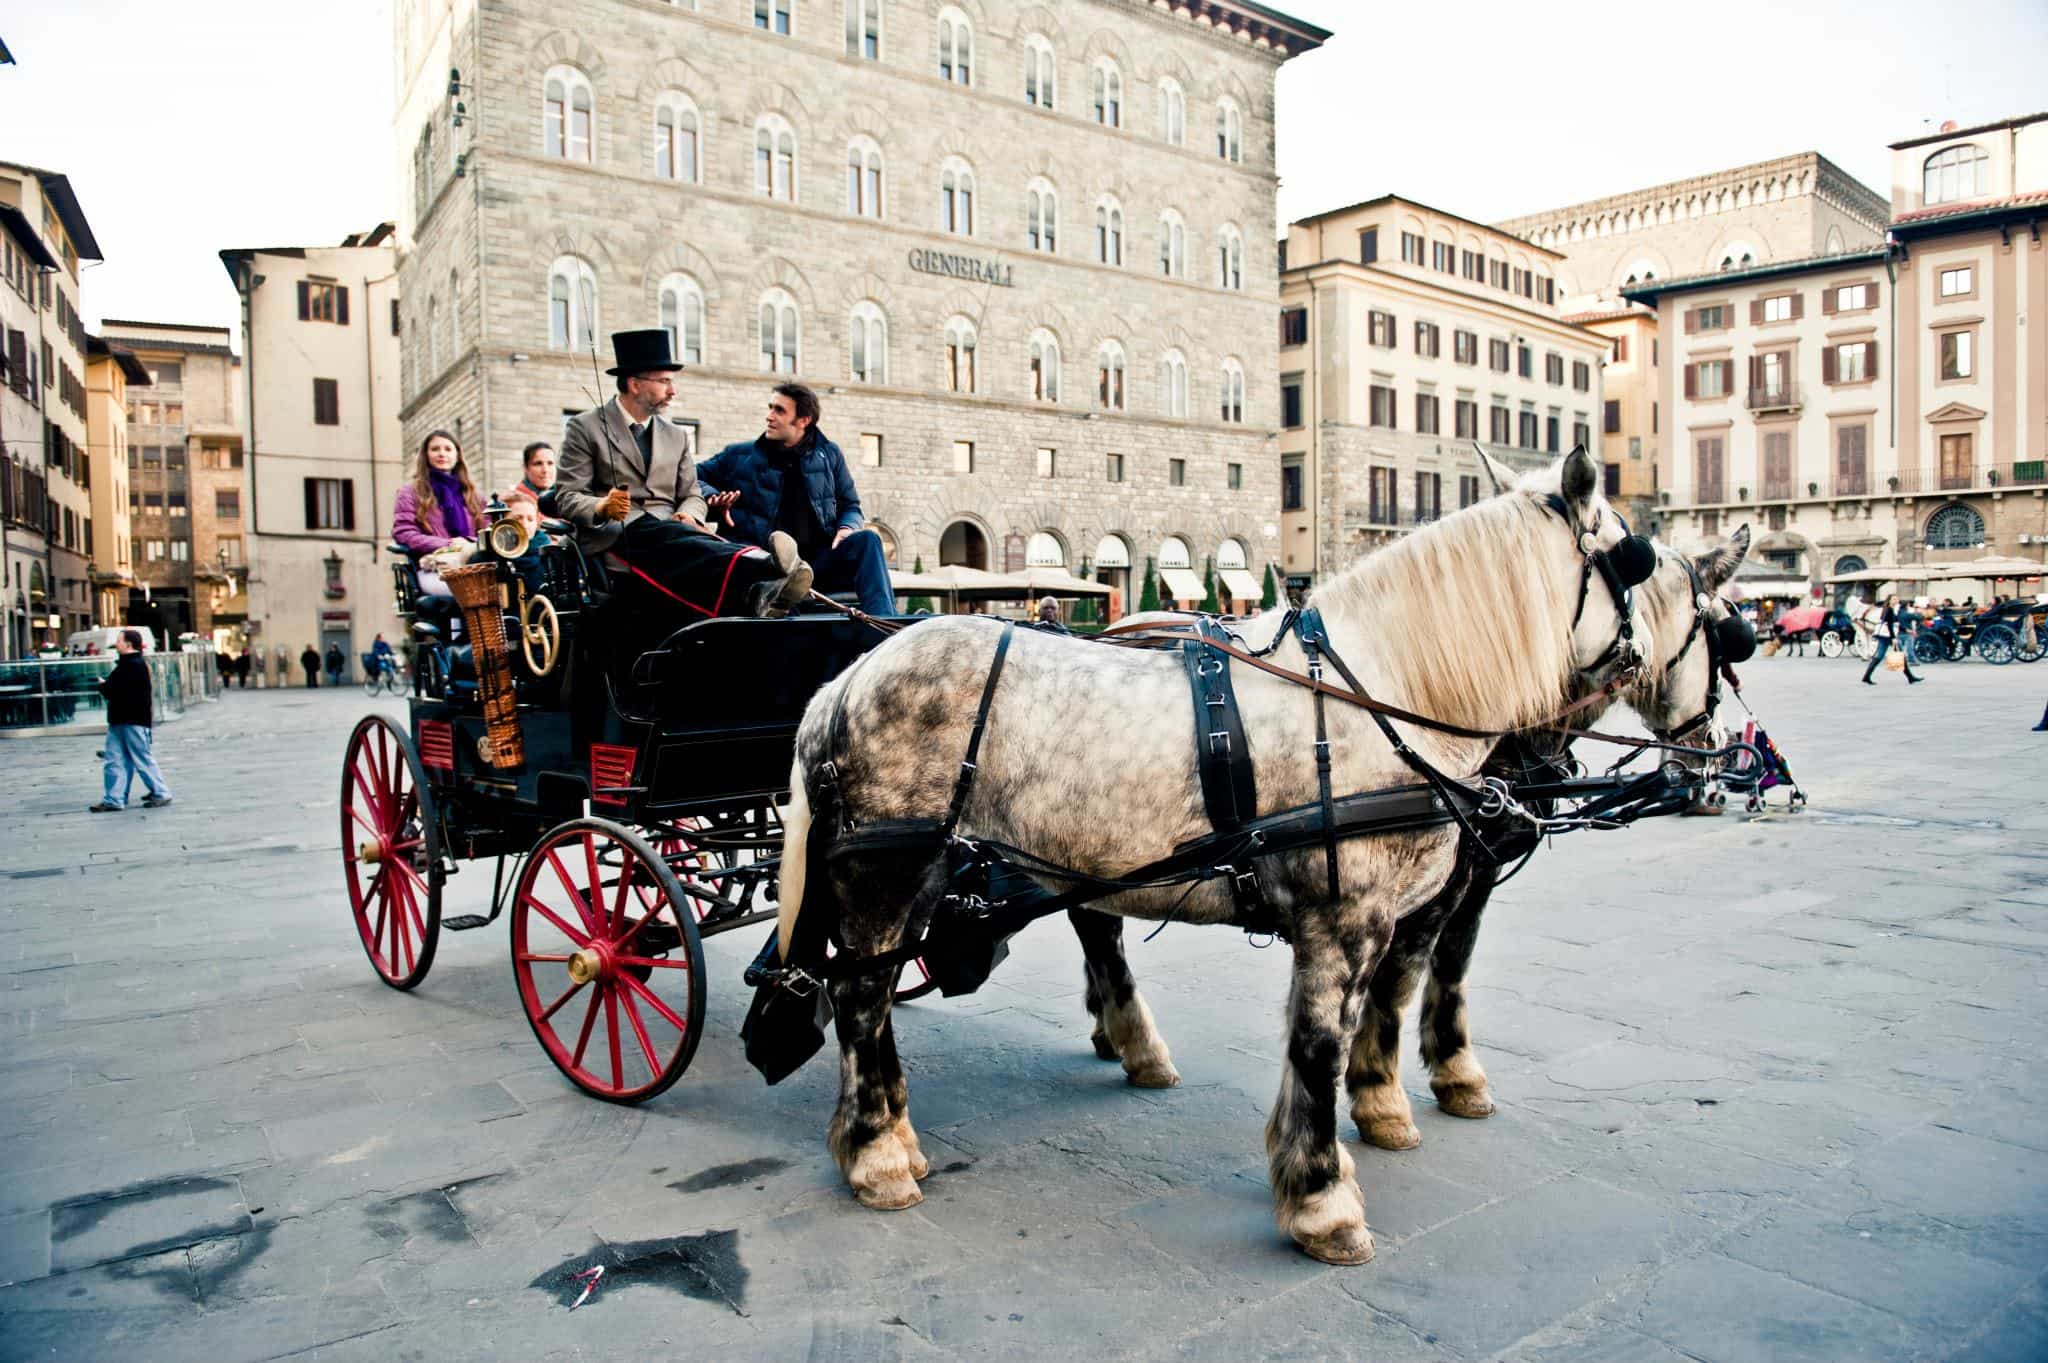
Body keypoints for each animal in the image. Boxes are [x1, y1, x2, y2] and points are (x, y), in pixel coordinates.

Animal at [776, 446, 1653, 1263]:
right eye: (1637, 560)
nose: (1645, 660)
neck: (1381, 688)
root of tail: (844, 683)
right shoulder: (1346, 920)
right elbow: (1320, 1047)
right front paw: (1324, 1200)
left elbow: (1349, 1028)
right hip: (887, 872)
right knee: (860, 998)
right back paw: (877, 1155)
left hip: (923, 871)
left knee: (883, 986)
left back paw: (900, 1130)